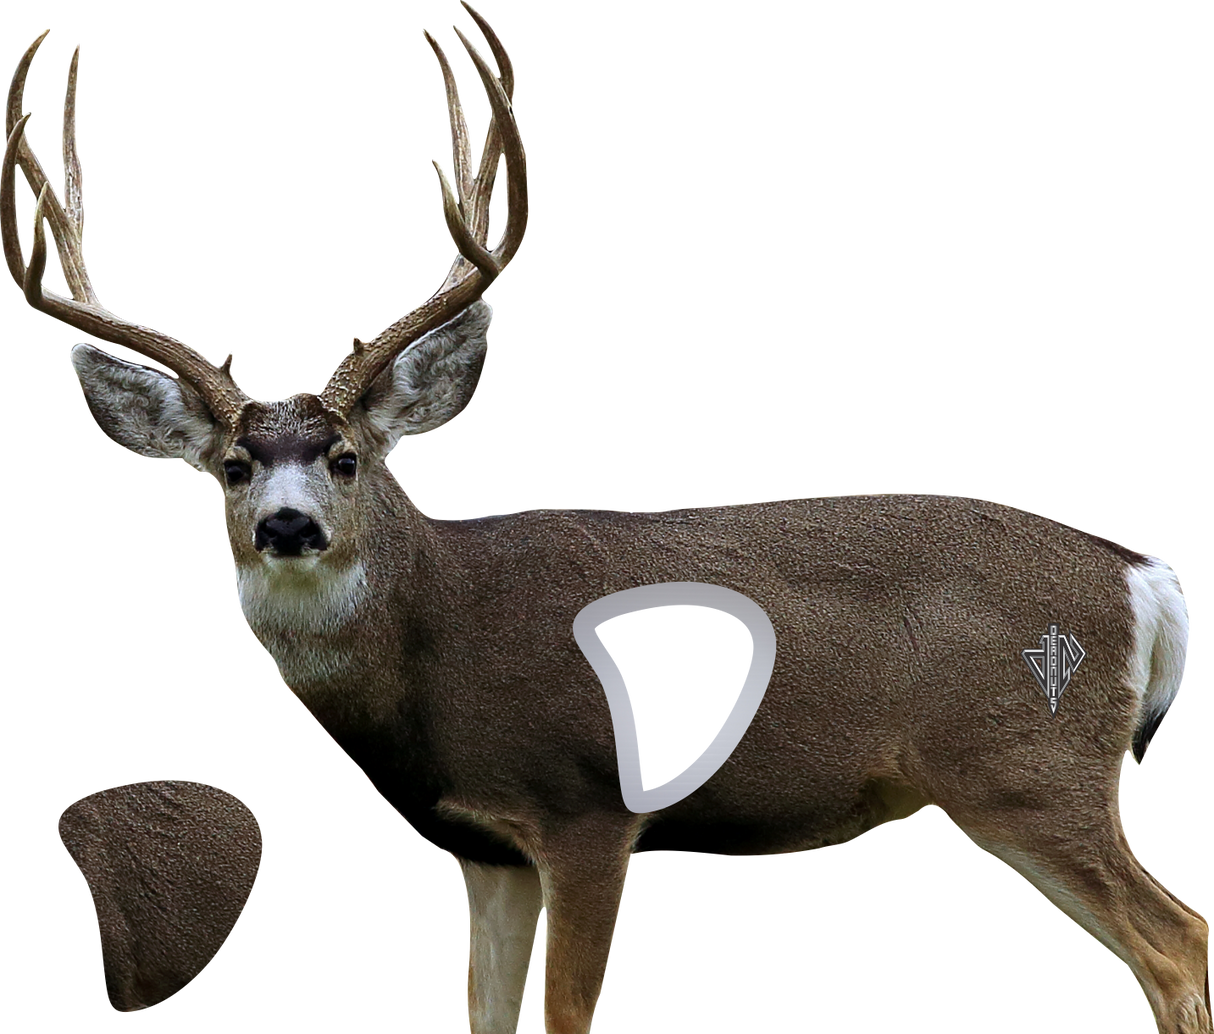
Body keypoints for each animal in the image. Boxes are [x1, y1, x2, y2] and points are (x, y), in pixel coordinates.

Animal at [4, 5, 1209, 1032]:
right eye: (231, 467)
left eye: (347, 458)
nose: (289, 527)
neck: (442, 637)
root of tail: (1140, 573)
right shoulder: (482, 851)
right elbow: (485, 1015)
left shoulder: (589, 809)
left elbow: (566, 1012)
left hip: (1026, 762)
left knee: (1177, 937)